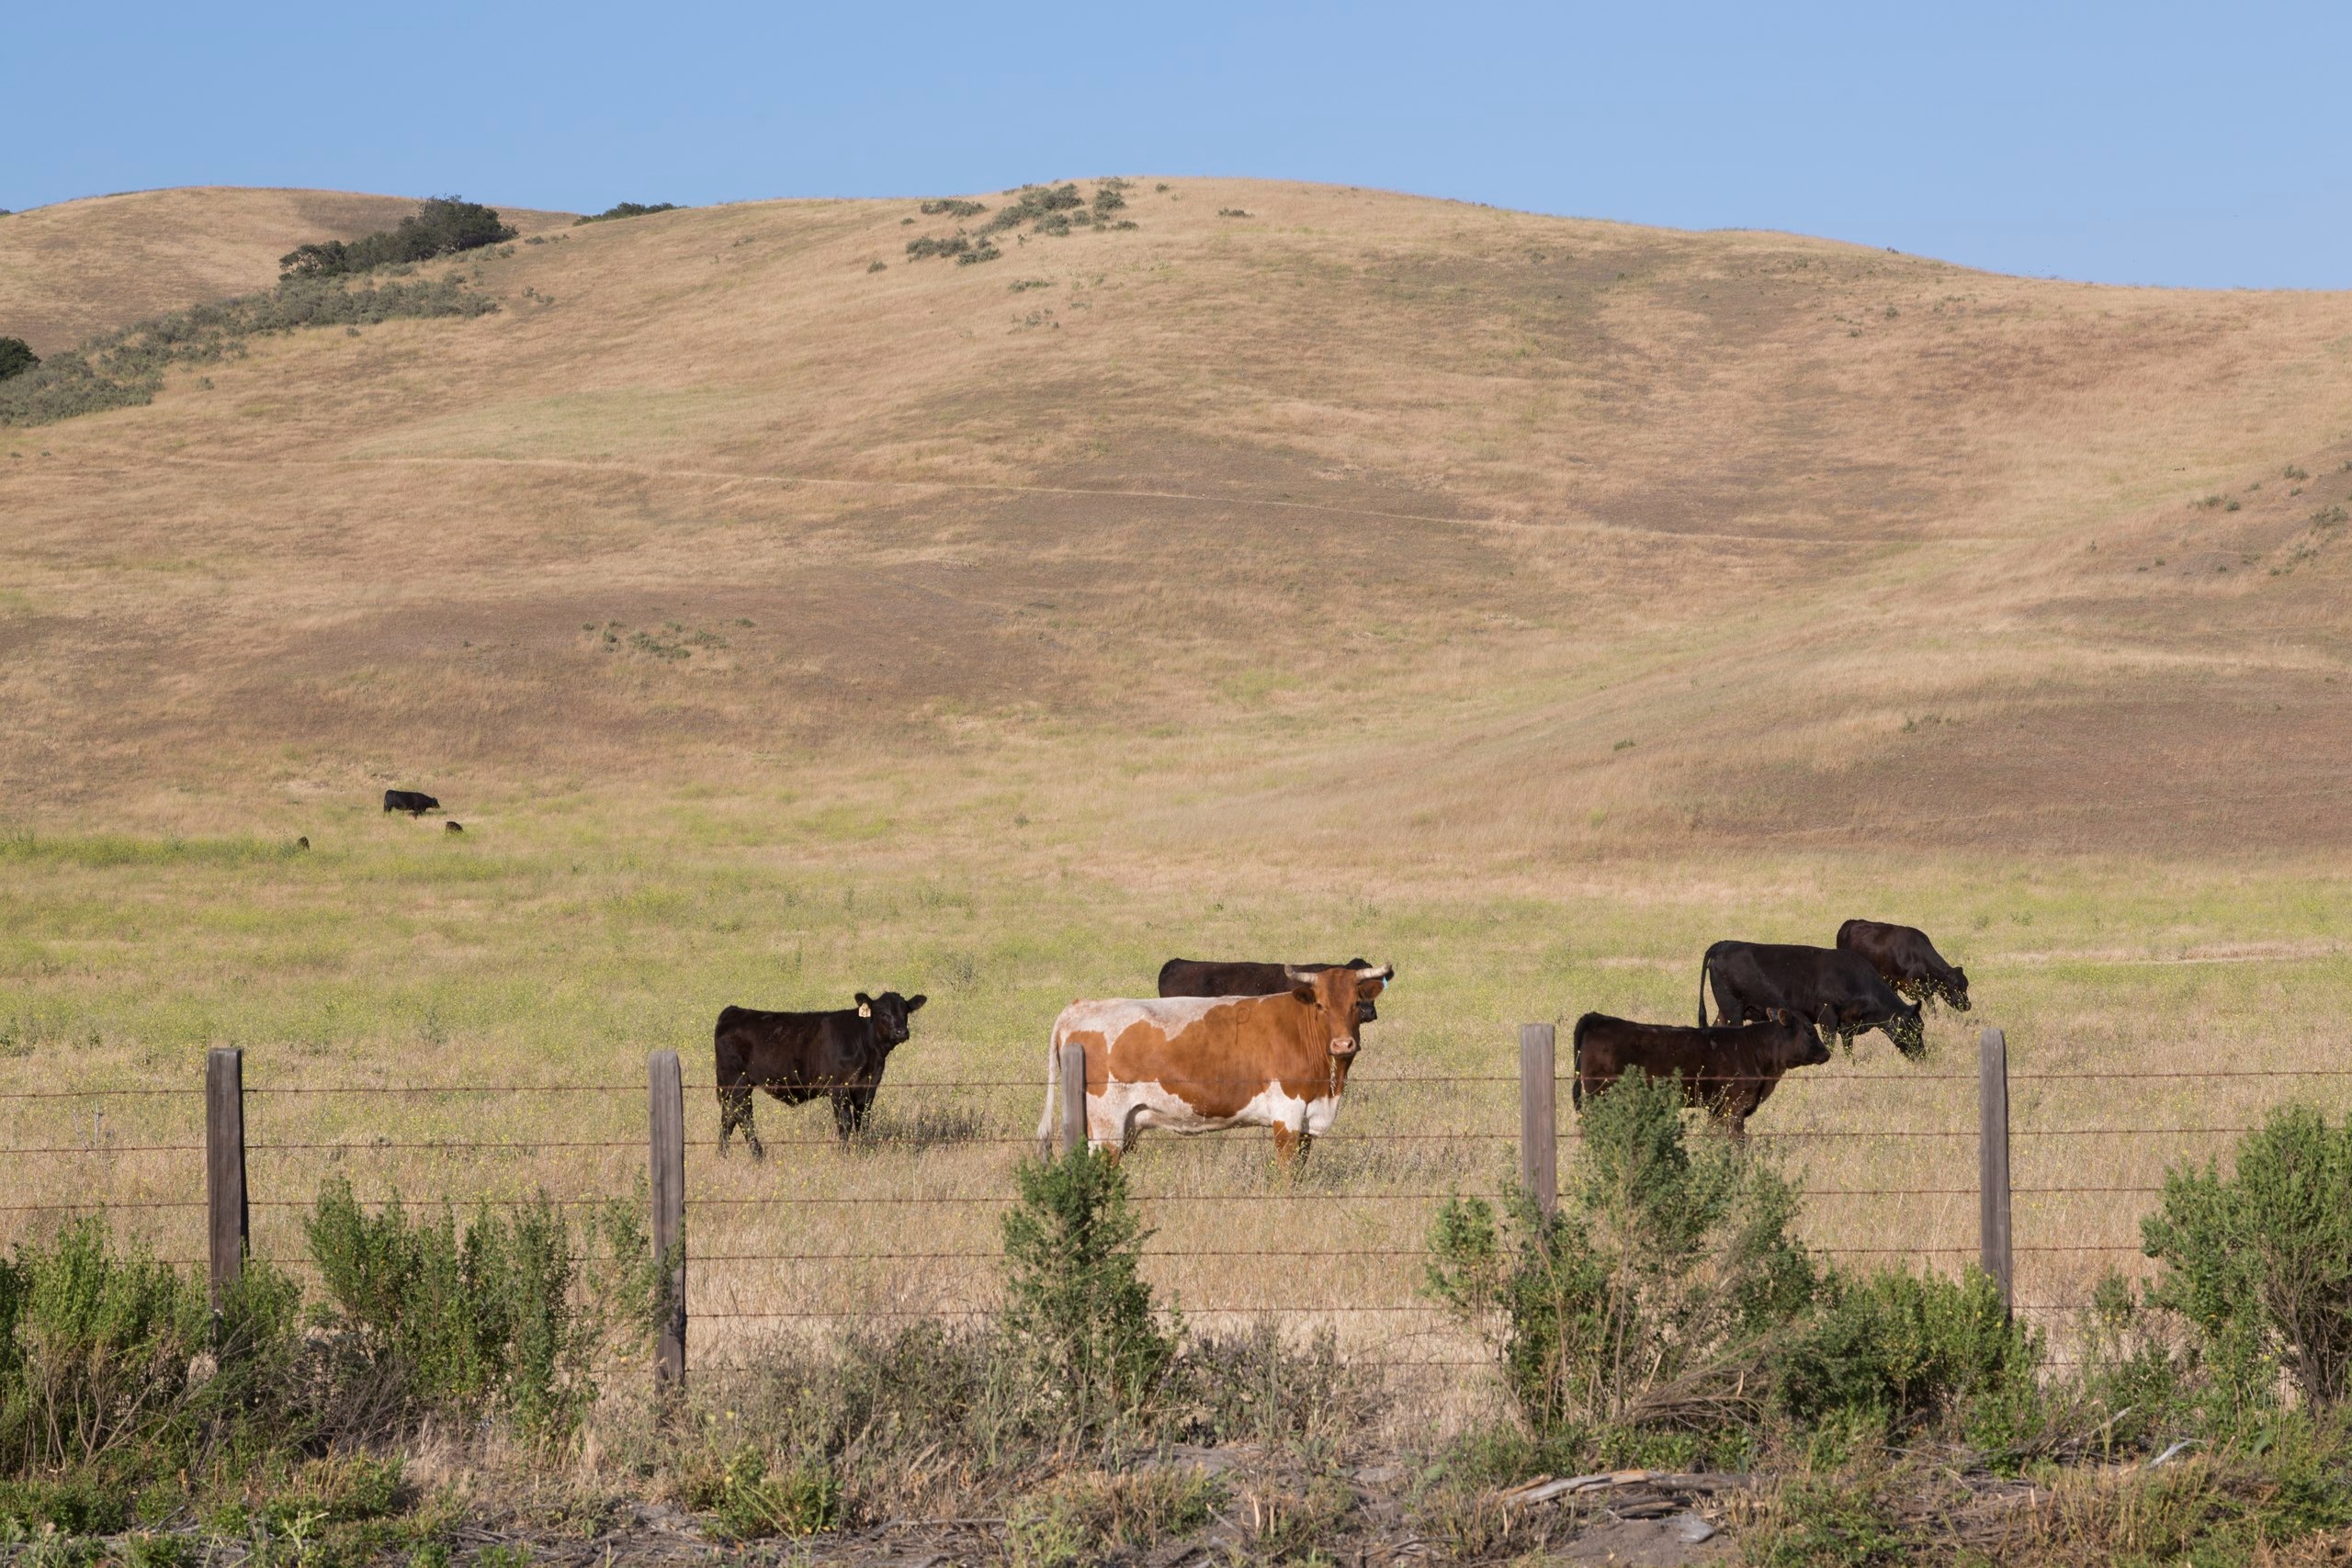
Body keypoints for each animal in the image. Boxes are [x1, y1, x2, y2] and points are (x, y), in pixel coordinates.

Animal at [714, 990, 928, 1155]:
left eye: (906, 1011)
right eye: (883, 1013)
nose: (902, 1032)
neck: (869, 1050)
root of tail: (733, 1011)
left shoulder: (868, 1087)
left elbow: (863, 1121)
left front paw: (862, 1151)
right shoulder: (839, 1088)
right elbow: (845, 1122)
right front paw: (845, 1153)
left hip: (732, 1085)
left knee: (728, 1115)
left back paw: (723, 1154)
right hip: (738, 1081)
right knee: (743, 1114)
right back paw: (758, 1154)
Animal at [1571, 1008, 1834, 1139]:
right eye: (1810, 1030)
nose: (1827, 1053)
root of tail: (1597, 1018)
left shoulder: (1717, 1108)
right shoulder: (1735, 1106)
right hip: (1600, 1097)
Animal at [1699, 941, 1925, 1058]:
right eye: (1915, 1029)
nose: (1923, 1055)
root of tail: (1724, 945)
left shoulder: (1848, 1024)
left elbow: (1848, 1049)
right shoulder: (1828, 1016)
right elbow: (1830, 1043)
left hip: (1725, 1011)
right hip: (1732, 1009)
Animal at [1836, 919, 1970, 1011]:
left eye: (1966, 986)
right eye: (1955, 986)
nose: (1968, 1005)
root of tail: (1849, 922)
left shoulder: (1924, 988)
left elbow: (1932, 1008)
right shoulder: (1892, 982)